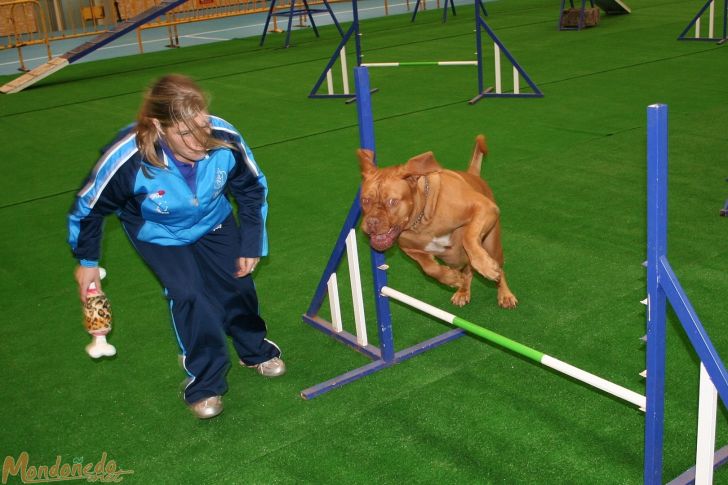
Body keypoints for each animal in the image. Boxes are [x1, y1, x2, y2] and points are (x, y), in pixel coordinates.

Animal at [358, 134, 516, 308]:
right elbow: (429, 267)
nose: (372, 222)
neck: (422, 220)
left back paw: (504, 293)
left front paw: (486, 267)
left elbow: (468, 237)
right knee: (467, 272)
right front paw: (450, 278)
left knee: (499, 270)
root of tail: (473, 175)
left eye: (392, 201)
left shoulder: (483, 207)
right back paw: (463, 291)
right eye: (365, 200)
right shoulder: (409, 249)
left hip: (493, 246)